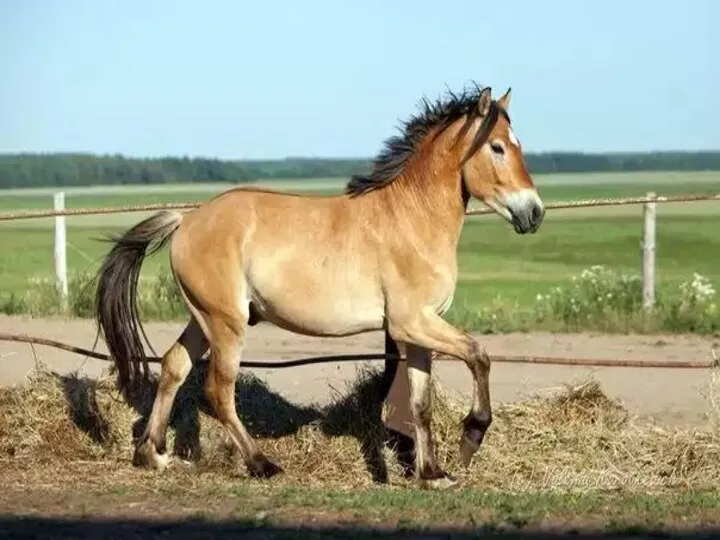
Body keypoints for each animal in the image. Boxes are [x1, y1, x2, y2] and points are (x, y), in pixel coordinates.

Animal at [95, 83, 544, 490]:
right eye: (498, 148)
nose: (534, 213)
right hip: (225, 323)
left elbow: (421, 404)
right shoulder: (411, 322)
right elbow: (478, 355)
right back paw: (262, 464)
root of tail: (187, 220)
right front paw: (471, 438)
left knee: (174, 366)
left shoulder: (418, 330)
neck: (411, 217)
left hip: (205, 318)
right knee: (218, 390)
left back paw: (153, 454)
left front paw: (433, 474)